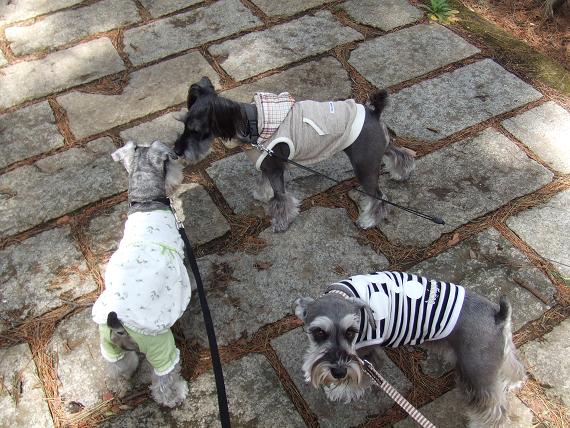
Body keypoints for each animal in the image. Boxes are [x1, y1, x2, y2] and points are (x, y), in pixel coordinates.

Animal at [91, 140, 194, 408]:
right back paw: (176, 394)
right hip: (160, 346)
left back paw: (118, 387)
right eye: (170, 163)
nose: (181, 168)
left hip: (110, 346)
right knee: (164, 379)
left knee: (117, 368)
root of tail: (117, 322)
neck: (145, 202)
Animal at [173, 76, 415, 232]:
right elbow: (263, 183)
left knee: (379, 197)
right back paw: (402, 173)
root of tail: (373, 112)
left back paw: (368, 221)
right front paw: (262, 194)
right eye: (183, 124)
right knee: (398, 153)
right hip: (376, 150)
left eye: (196, 130)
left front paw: (280, 223)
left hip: (364, 166)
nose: (176, 151)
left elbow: (281, 198)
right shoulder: (267, 164)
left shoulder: (274, 168)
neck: (254, 122)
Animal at [293, 271, 526, 427]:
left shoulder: (366, 356)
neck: (343, 293)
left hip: (476, 371)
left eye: (351, 332)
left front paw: (339, 390)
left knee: (494, 410)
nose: (338, 371)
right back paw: (513, 382)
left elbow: (358, 380)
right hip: (495, 355)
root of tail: (497, 316)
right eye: (318, 332)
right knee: (513, 366)